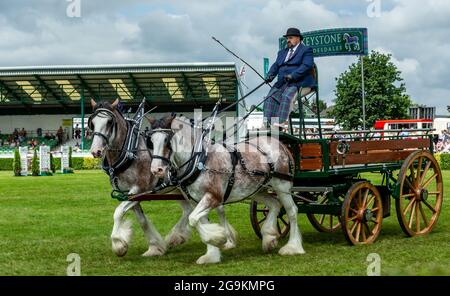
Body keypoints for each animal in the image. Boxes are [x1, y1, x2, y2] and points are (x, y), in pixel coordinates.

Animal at [149, 113, 304, 264]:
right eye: (151, 141)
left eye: (166, 140)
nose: (156, 170)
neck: (200, 161)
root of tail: (280, 144)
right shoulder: (196, 201)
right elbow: (198, 220)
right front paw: (211, 254)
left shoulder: (213, 197)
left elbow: (192, 219)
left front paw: (219, 238)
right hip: (257, 190)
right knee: (274, 204)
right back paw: (269, 238)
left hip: (281, 186)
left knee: (292, 211)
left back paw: (292, 247)